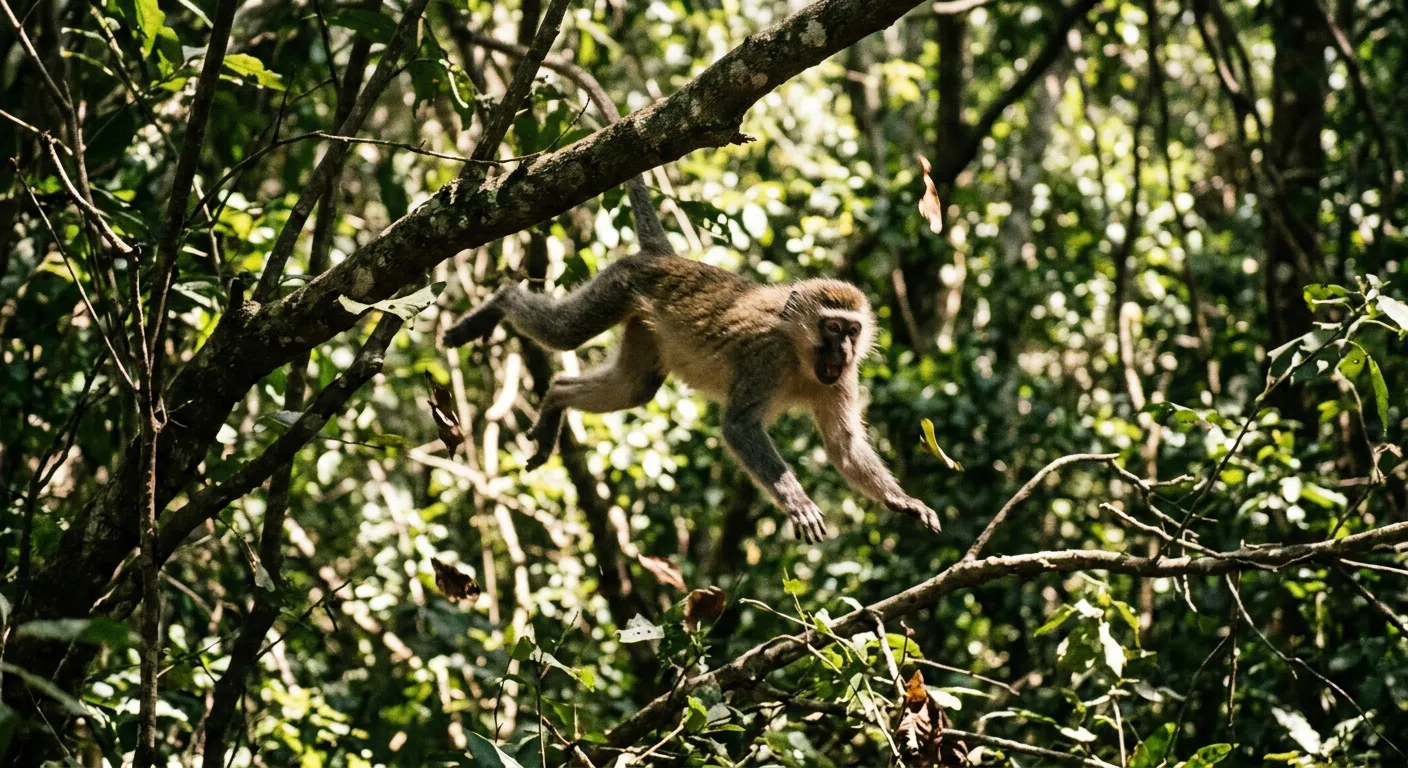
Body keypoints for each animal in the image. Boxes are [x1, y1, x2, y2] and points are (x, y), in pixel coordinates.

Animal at [443, 39, 942, 543]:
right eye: (833, 327)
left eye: (852, 331)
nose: (843, 348)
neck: (800, 356)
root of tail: (664, 259)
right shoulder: (765, 358)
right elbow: (739, 427)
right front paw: (799, 504)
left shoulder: (843, 378)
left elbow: (844, 446)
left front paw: (903, 501)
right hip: (619, 285)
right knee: (566, 333)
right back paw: (497, 306)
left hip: (642, 325)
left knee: (633, 388)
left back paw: (555, 400)